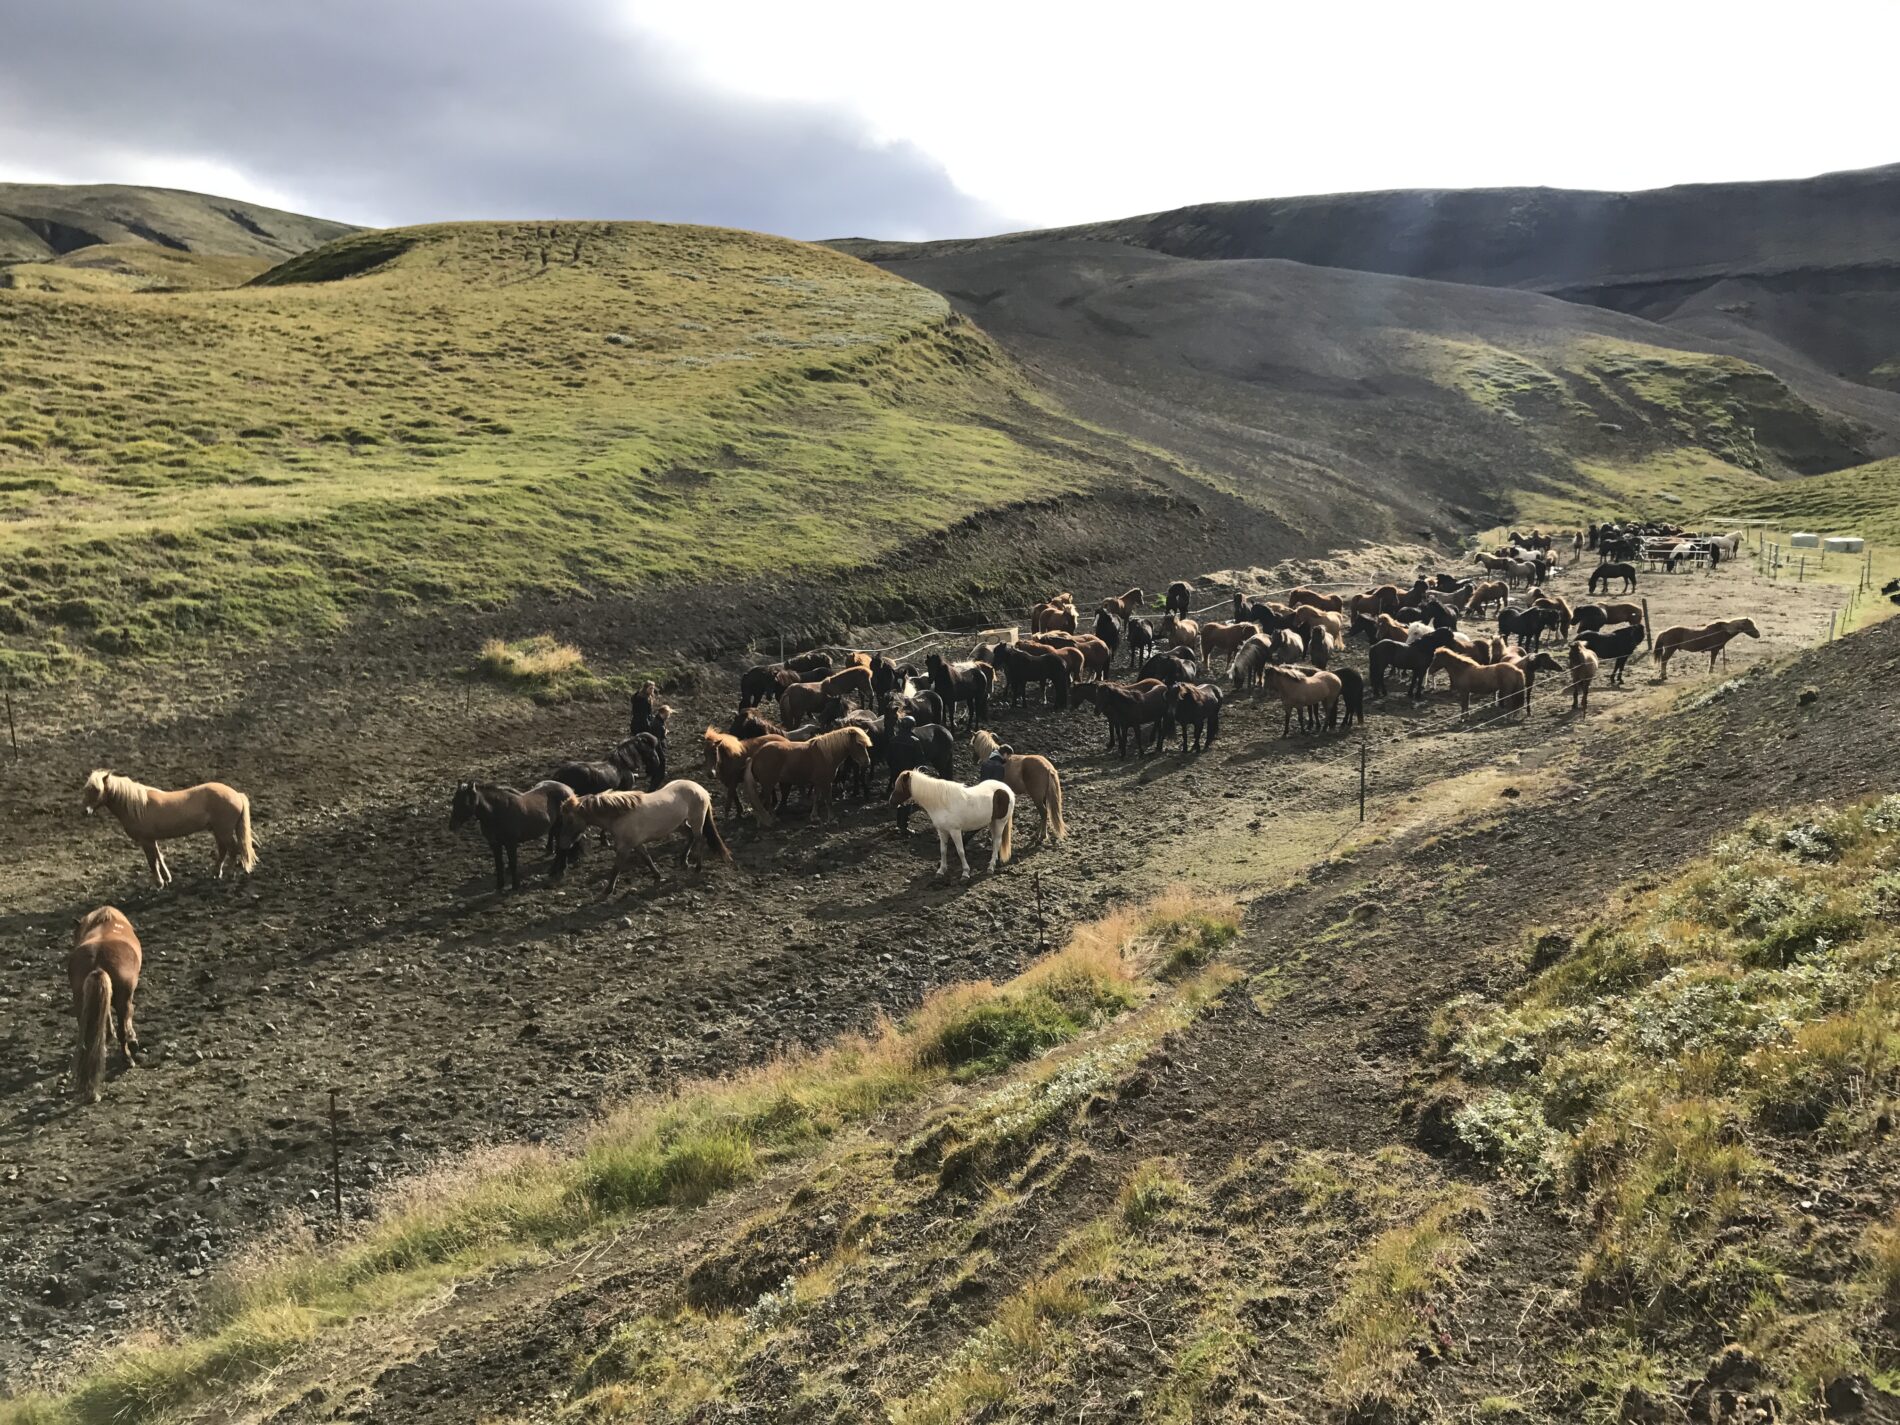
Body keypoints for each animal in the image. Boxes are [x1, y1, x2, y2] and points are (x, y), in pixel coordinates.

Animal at [69, 906, 141, 1103]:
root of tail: (97, 964)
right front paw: (133, 1039)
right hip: (122, 1000)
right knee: (124, 1026)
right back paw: (128, 1059)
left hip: (82, 1005)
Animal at [83, 770, 257, 888]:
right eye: (86, 789)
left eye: (97, 790)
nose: (86, 811)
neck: (138, 806)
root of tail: (236, 794)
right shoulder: (151, 840)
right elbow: (159, 857)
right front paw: (167, 878)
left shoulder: (146, 840)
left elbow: (152, 861)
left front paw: (159, 883)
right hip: (218, 831)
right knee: (223, 850)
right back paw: (215, 873)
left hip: (224, 831)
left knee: (233, 850)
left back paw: (229, 874)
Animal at [557, 782, 729, 894]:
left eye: (570, 820)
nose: (563, 844)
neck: (619, 814)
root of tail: (700, 789)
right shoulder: (637, 844)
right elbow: (647, 859)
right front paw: (657, 876)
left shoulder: (625, 847)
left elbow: (616, 868)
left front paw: (607, 890)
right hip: (679, 824)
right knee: (691, 837)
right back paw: (683, 862)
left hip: (696, 821)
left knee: (699, 840)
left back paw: (697, 867)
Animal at [743, 727, 873, 824]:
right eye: (858, 744)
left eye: (865, 745)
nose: (867, 762)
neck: (826, 753)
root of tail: (756, 755)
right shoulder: (826, 783)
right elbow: (828, 801)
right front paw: (832, 819)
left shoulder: (818, 782)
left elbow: (816, 799)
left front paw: (814, 816)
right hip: (768, 784)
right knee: (766, 801)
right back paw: (772, 819)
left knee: (759, 800)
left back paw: (761, 821)